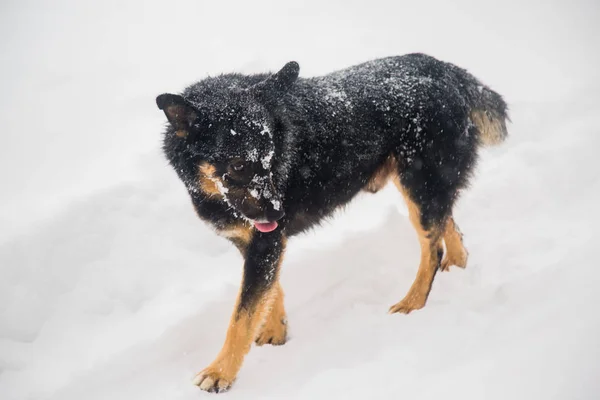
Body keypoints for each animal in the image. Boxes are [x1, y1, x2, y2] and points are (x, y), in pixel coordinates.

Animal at [155, 51, 506, 392]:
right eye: (238, 165)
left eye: (271, 158)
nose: (278, 214)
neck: (211, 191)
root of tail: (446, 69)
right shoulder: (258, 243)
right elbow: (269, 292)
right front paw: (276, 330)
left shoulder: (266, 241)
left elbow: (241, 317)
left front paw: (220, 373)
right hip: (421, 186)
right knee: (449, 225)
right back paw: (458, 266)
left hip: (419, 184)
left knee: (431, 249)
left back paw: (413, 302)